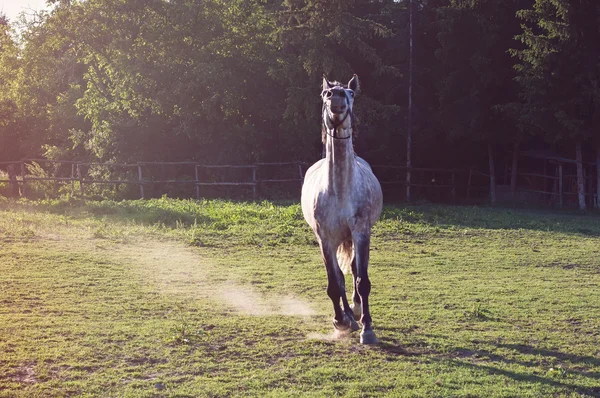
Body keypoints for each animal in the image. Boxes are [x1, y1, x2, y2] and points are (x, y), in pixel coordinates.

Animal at [300, 76, 384, 344]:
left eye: (350, 93)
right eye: (324, 94)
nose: (335, 96)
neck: (339, 189)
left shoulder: (361, 233)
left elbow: (362, 280)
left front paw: (367, 328)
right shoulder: (325, 239)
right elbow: (334, 283)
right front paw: (340, 321)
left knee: (355, 270)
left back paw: (356, 312)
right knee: (339, 275)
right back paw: (348, 316)